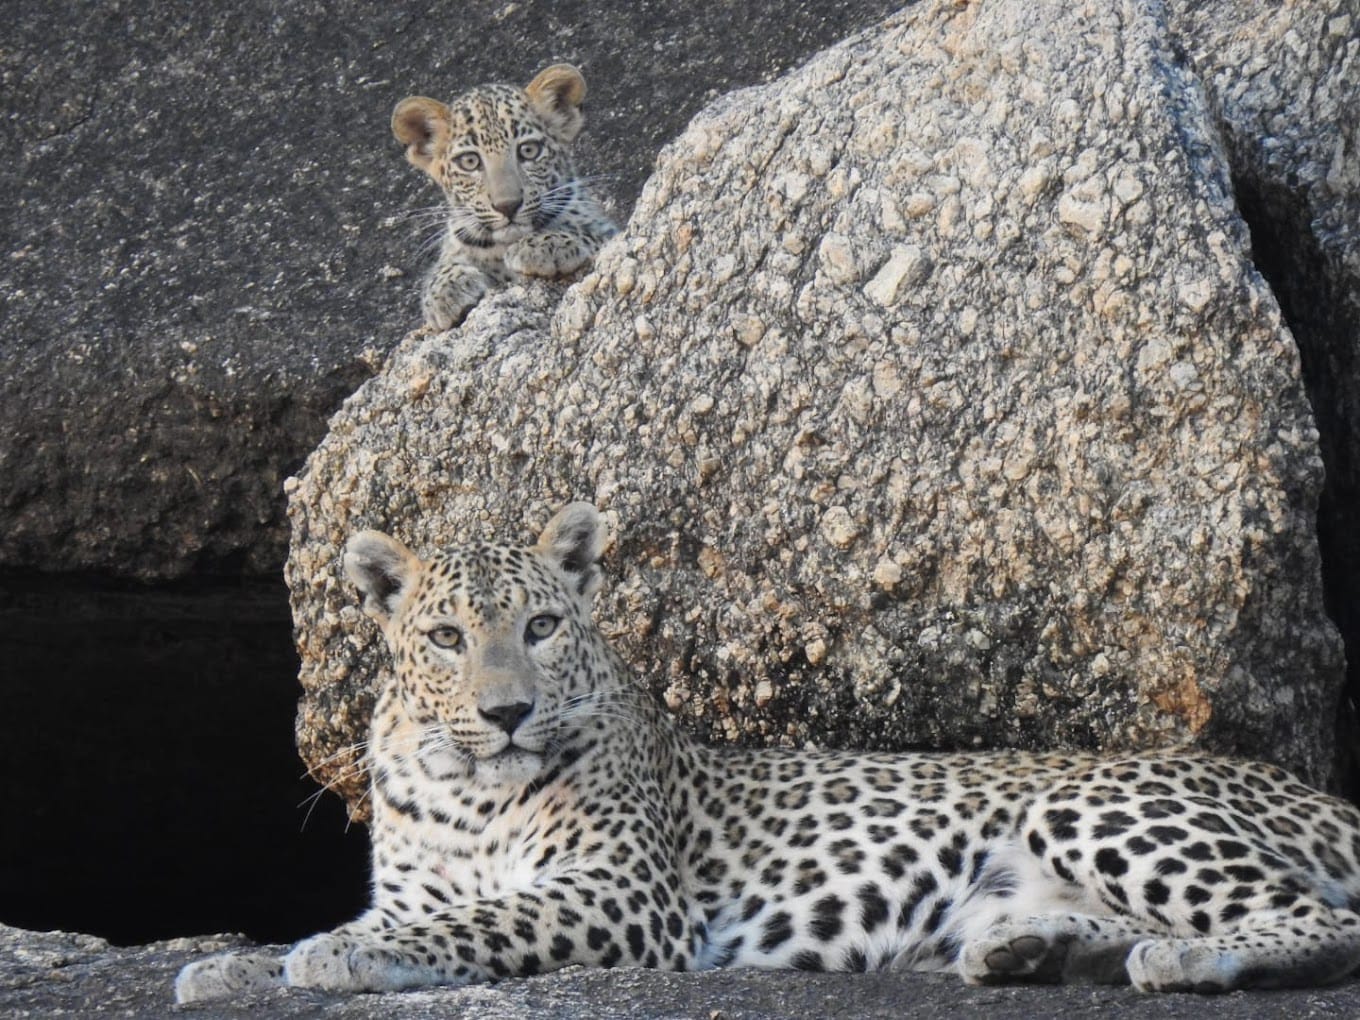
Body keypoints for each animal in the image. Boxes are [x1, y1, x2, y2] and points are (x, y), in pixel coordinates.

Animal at [176, 502, 1360, 1002]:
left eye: (543, 626)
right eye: (444, 638)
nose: (507, 712)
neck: (463, 784)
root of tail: (1291, 783)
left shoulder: (620, 893)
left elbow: (474, 923)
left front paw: (317, 961)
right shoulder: (414, 886)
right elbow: (384, 919)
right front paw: (235, 965)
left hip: (1098, 805)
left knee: (1321, 919)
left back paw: (1181, 963)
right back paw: (1034, 953)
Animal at [391, 64, 617, 331]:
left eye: (528, 150)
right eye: (470, 161)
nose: (507, 206)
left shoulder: (609, 232)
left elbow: (591, 235)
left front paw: (546, 244)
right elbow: (444, 265)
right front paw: (446, 292)